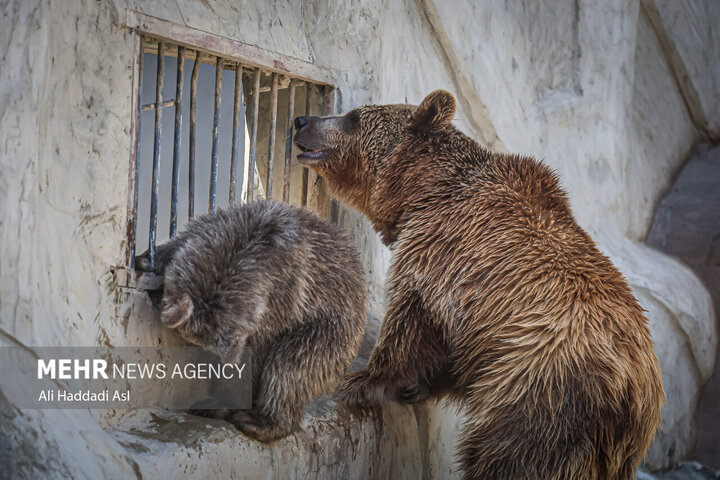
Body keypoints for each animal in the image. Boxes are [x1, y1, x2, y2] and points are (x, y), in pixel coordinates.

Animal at [135, 201, 368, 440]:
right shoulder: (212, 227)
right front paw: (145, 259)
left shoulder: (284, 301)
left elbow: (254, 359)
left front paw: (220, 403)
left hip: (330, 331)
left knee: (292, 367)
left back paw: (261, 422)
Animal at [292, 91, 664, 480]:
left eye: (353, 117)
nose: (302, 120)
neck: (423, 191)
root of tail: (633, 390)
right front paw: (415, 385)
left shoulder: (442, 254)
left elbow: (411, 320)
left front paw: (361, 380)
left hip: (540, 387)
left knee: (507, 455)